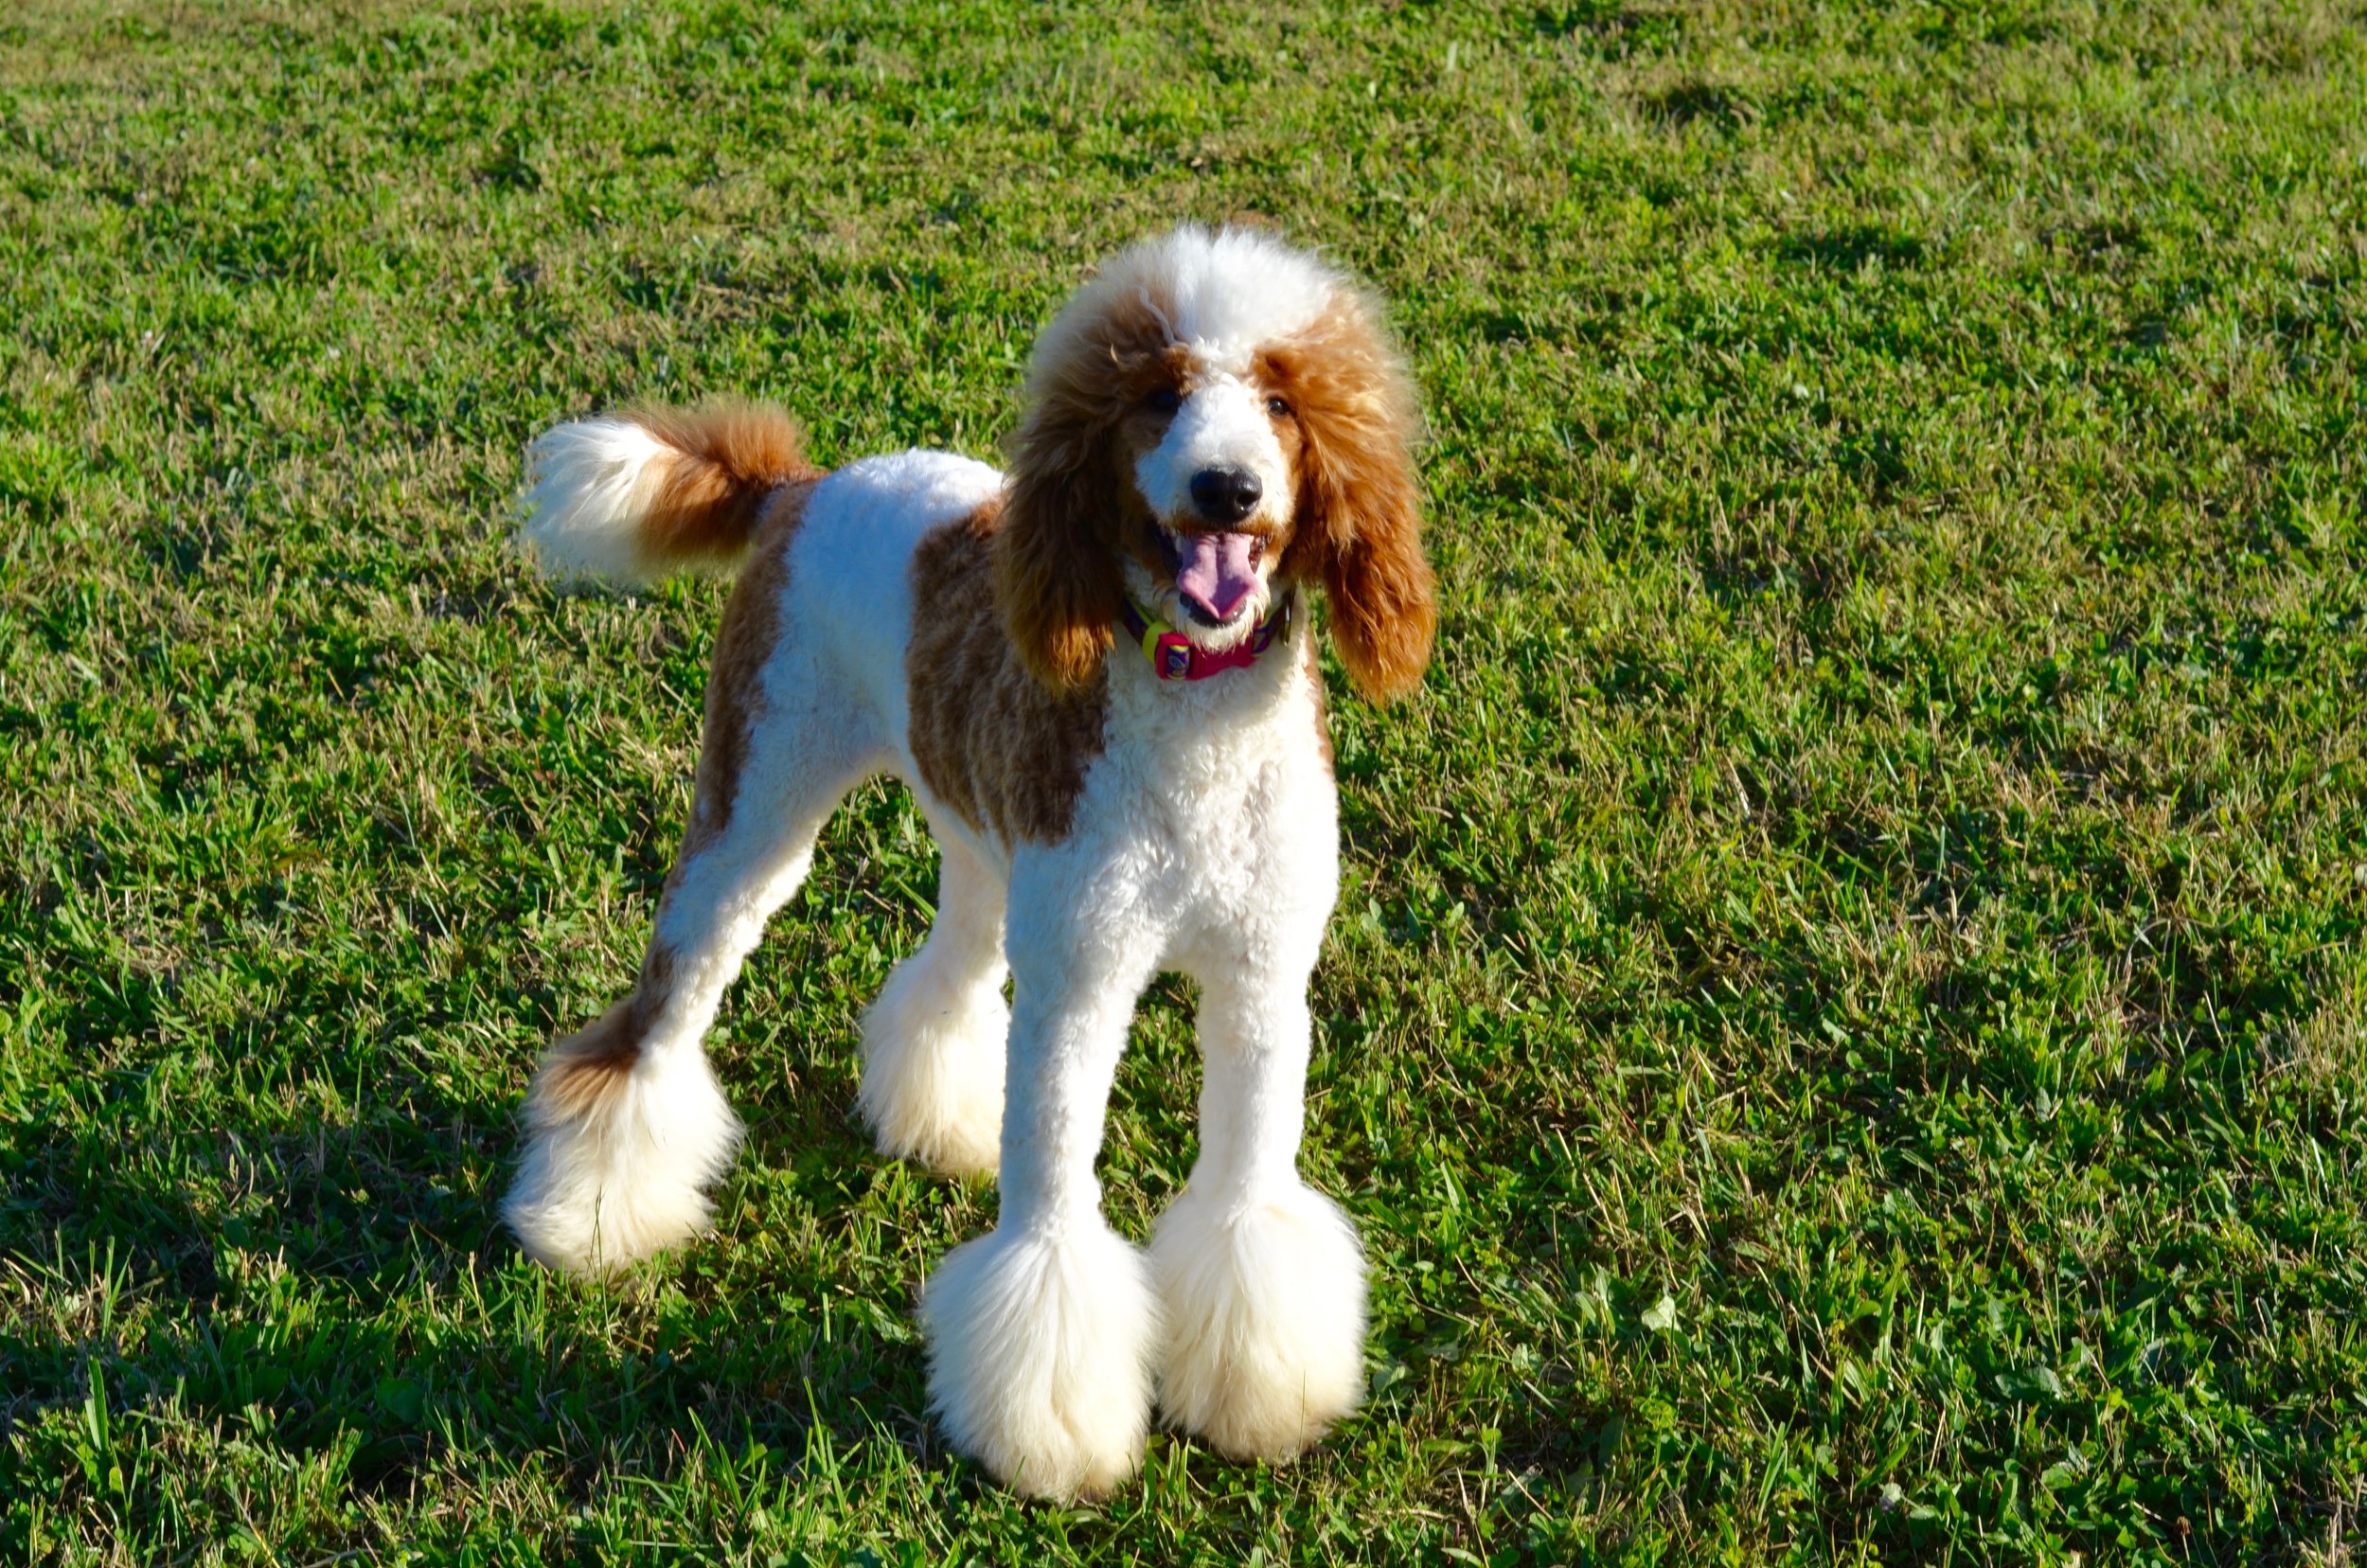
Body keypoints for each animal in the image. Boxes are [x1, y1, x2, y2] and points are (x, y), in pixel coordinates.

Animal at [507, 227, 1430, 1506]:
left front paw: (1258, 1396)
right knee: (655, 1018)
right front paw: (1053, 1437)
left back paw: (936, 1118)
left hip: (984, 846)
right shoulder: (1082, 994)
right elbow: (1048, 1226)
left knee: (950, 969)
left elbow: (1247, 1201)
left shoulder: (1259, 989)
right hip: (756, 812)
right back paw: (592, 1215)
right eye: (1159, 396)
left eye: (1284, 400)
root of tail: (797, 489)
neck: (1194, 712)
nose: (1226, 490)